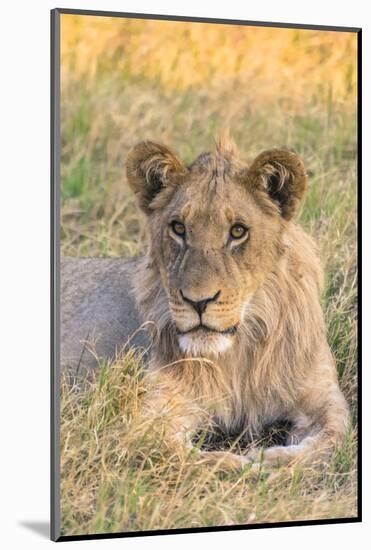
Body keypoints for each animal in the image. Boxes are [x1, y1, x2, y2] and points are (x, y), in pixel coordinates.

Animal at [121, 133, 348, 470]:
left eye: (238, 231)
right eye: (178, 228)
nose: (198, 301)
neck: (239, 354)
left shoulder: (323, 394)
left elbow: (331, 439)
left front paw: (272, 461)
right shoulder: (157, 406)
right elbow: (176, 453)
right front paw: (244, 466)